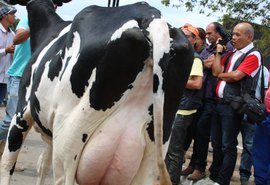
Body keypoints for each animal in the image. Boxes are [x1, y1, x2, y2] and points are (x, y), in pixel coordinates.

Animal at [1, 0, 193, 185]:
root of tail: (152, 17)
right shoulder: (49, 134)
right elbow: (43, 164)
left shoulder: (21, 112)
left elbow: (7, 162)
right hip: (153, 154)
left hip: (68, 140)